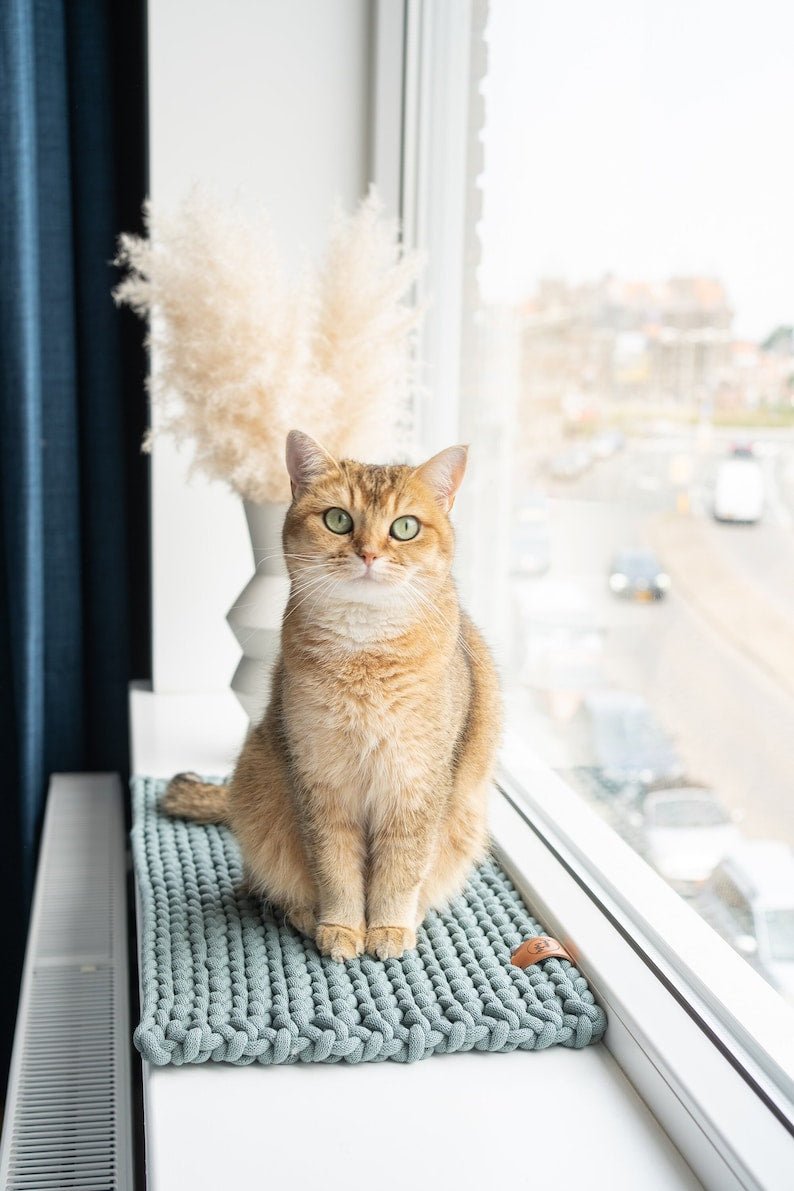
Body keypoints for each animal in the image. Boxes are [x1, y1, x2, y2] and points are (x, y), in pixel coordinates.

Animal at [163, 433, 502, 962]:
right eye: (338, 520)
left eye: (405, 528)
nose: (368, 554)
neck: (363, 656)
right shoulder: (321, 783)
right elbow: (335, 868)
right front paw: (342, 928)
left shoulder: (415, 785)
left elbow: (401, 870)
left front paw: (387, 928)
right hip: (259, 787)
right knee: (268, 883)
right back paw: (306, 915)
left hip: (465, 818)